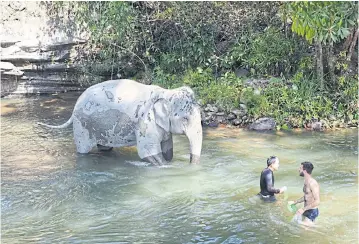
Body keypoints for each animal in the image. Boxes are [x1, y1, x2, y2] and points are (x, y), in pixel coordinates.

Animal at [38, 79, 205, 165]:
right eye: (185, 118)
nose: (191, 164)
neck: (166, 92)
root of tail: (73, 109)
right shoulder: (145, 123)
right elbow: (148, 152)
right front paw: (165, 166)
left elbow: (167, 149)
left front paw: (170, 161)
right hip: (81, 126)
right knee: (83, 149)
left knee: (104, 146)